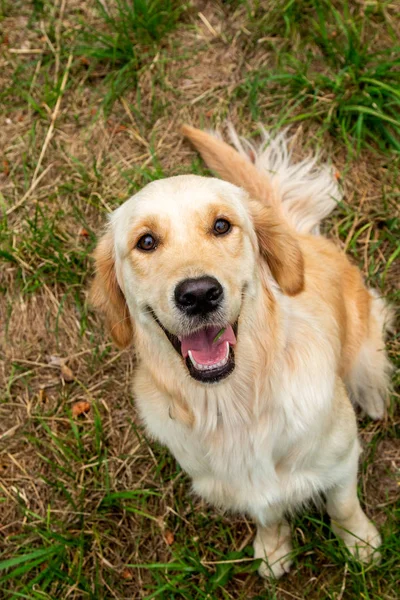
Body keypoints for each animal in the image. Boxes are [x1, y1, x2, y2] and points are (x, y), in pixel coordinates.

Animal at [90, 124, 390, 580]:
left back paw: (372, 398)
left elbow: (342, 506)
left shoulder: (340, 460)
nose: (199, 294)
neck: (233, 406)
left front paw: (360, 543)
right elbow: (267, 513)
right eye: (146, 241)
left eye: (221, 225)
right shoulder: (242, 487)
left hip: (362, 331)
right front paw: (274, 549)